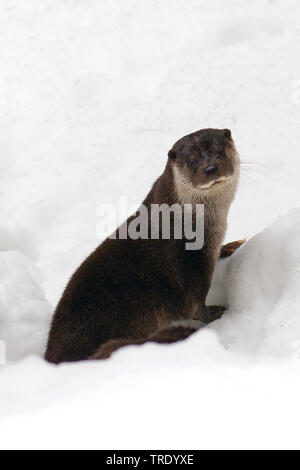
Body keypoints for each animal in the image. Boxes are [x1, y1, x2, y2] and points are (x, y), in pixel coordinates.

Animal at [44, 129, 243, 364]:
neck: (186, 220)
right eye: (192, 162)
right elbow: (196, 307)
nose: (210, 168)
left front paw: (229, 246)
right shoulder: (191, 263)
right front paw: (216, 313)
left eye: (220, 149)